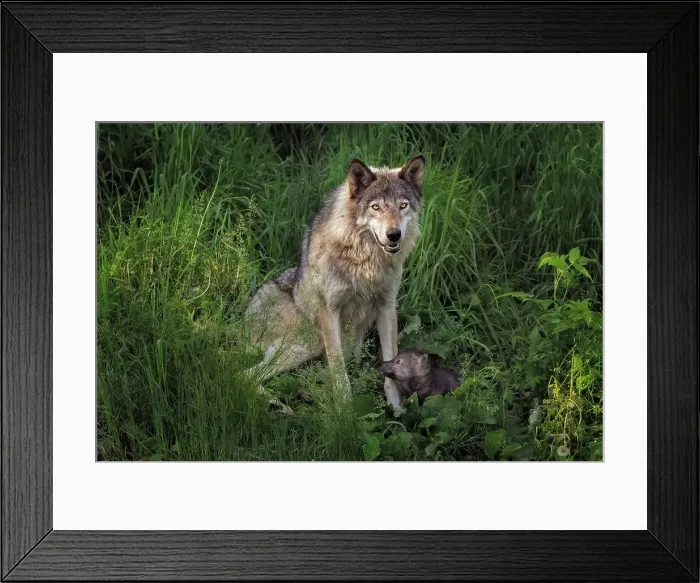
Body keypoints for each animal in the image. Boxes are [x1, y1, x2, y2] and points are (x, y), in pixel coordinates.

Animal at [244, 155, 426, 415]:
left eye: (403, 206)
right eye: (376, 207)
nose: (394, 235)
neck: (364, 259)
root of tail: (245, 319)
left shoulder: (387, 308)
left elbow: (391, 366)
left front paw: (397, 410)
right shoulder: (328, 312)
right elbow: (339, 371)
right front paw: (346, 413)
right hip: (308, 342)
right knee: (245, 375)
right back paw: (279, 406)